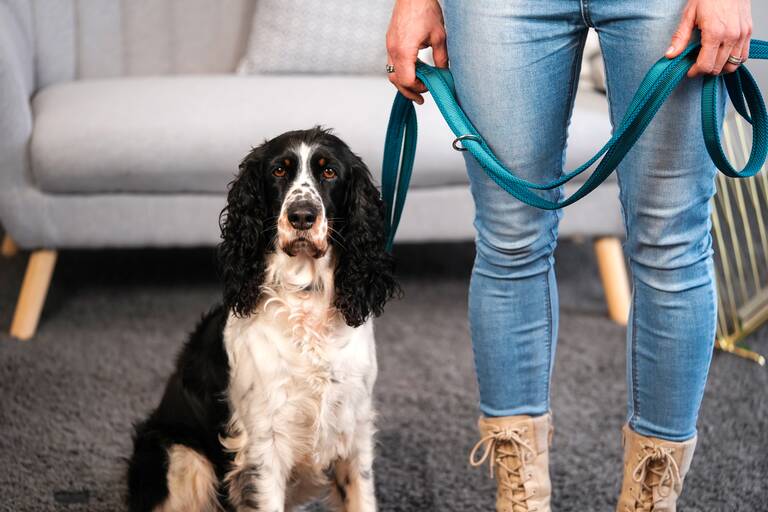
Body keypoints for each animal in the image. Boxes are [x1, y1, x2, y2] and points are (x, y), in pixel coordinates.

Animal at [127, 128, 400, 512]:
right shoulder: (263, 447)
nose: (302, 216)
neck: (305, 299)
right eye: (278, 171)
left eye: (329, 171)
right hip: (181, 458)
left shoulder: (353, 431)